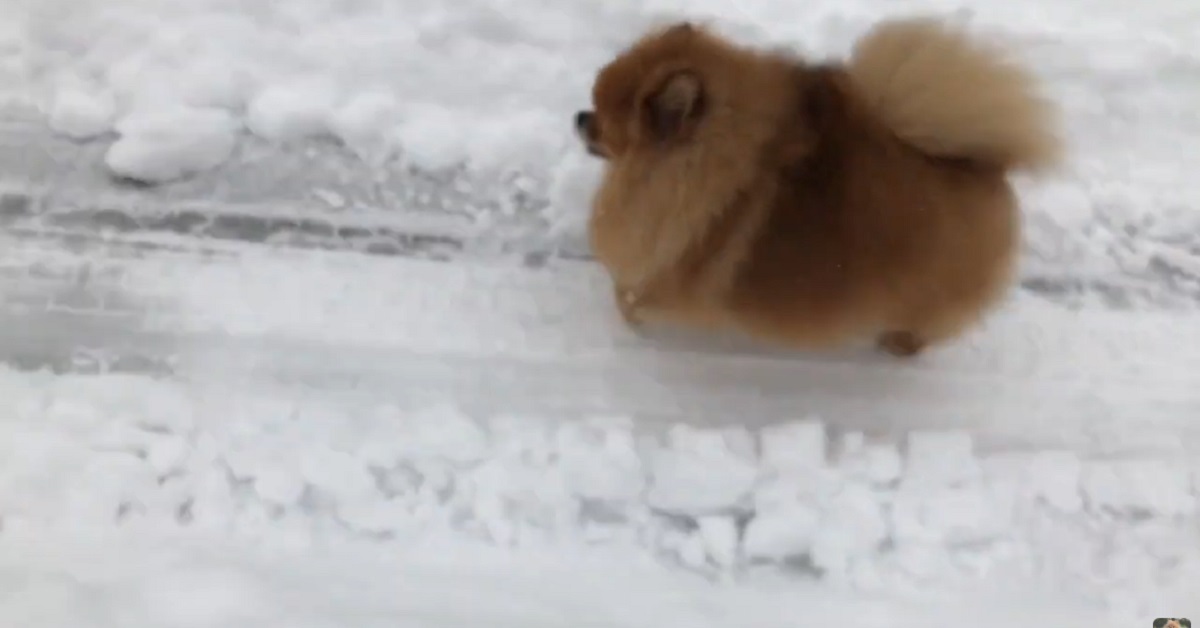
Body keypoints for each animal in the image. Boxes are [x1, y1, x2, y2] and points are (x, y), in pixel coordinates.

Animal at [571, 14, 1060, 355]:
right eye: (592, 103)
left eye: (603, 123)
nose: (578, 117)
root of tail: (984, 163)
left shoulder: (672, 268)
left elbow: (631, 293)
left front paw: (630, 319)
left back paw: (895, 345)